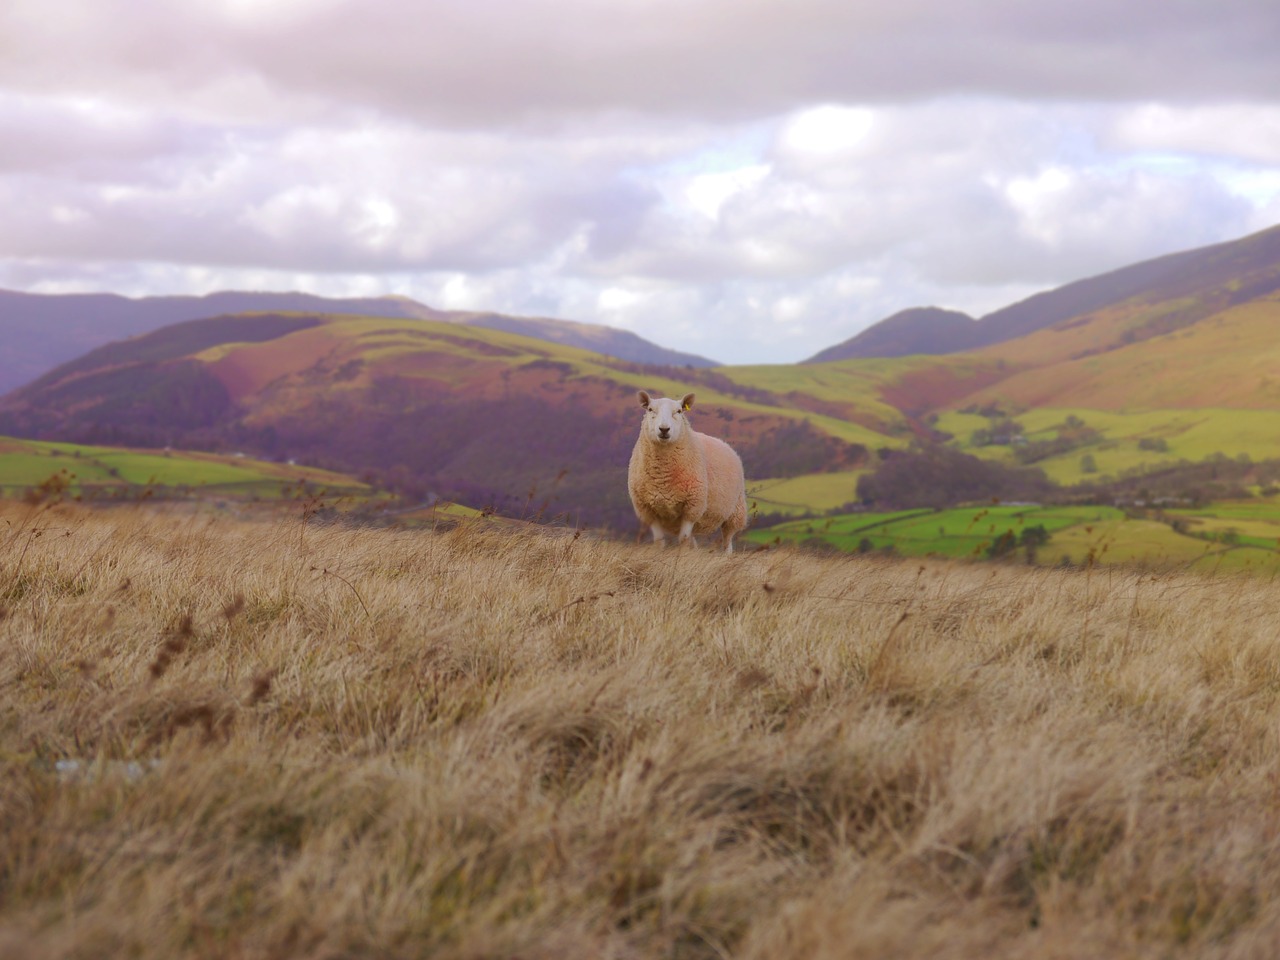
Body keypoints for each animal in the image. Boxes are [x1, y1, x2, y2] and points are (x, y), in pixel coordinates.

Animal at [624, 391, 747, 552]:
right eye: (650, 409)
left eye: (679, 411)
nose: (664, 429)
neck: (663, 476)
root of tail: (725, 444)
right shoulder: (648, 510)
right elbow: (659, 541)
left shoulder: (692, 506)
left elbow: (683, 539)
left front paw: (682, 556)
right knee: (693, 540)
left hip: (735, 512)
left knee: (727, 540)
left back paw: (727, 554)